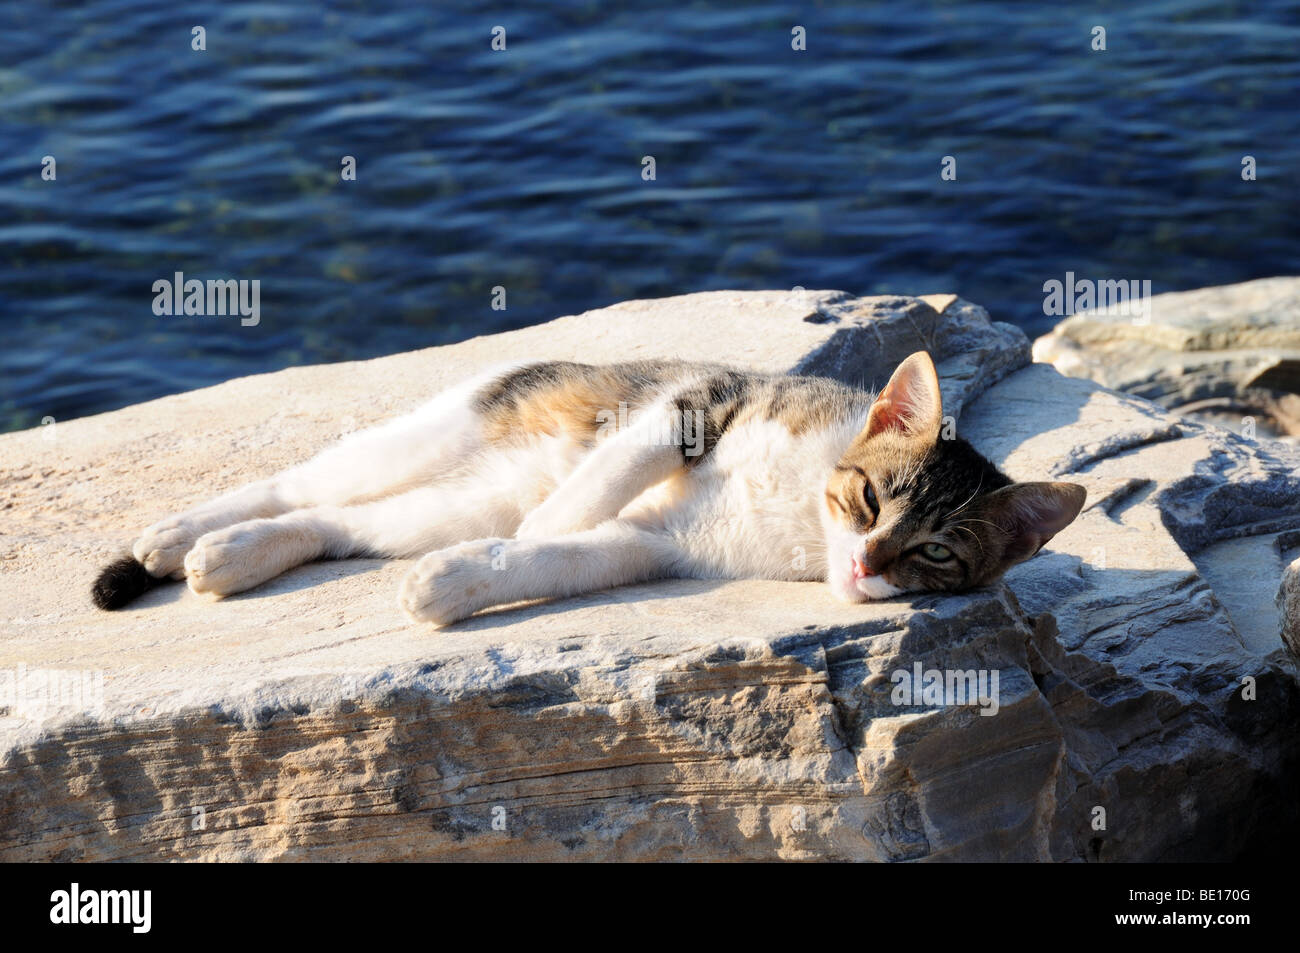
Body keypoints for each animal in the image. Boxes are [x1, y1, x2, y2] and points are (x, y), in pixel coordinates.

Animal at [91, 348, 1086, 624]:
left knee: (340, 522)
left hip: (447, 500)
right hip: (444, 428)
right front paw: (535, 531)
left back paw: (232, 556)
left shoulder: (653, 547)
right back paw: (179, 534)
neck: (803, 506)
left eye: (936, 551)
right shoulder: (697, 404)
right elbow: (591, 493)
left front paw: (464, 579)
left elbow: (562, 556)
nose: (872, 564)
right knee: (292, 480)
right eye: (873, 500)